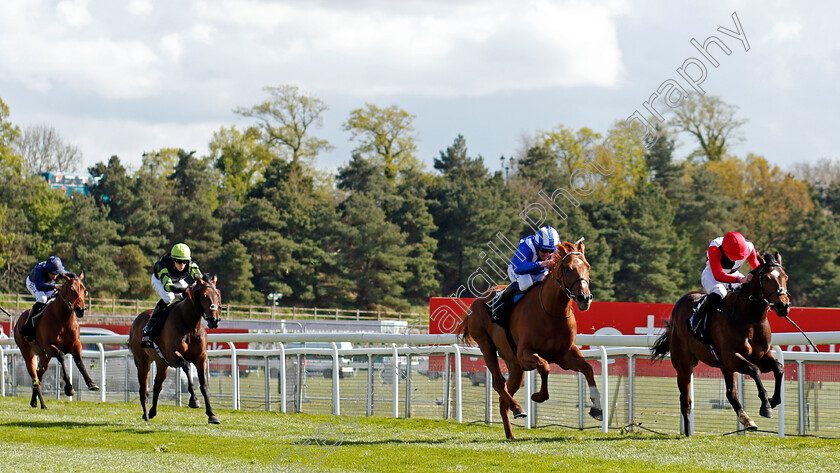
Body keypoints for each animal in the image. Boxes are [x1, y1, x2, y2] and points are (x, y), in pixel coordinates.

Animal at [12, 272, 99, 410]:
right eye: (71, 289)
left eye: (84, 290)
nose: (80, 309)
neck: (63, 319)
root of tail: (19, 320)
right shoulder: (49, 347)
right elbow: (62, 356)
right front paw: (69, 388)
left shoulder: (75, 344)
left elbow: (79, 361)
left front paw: (91, 383)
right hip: (27, 353)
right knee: (35, 378)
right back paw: (42, 404)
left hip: (44, 357)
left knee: (39, 375)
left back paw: (35, 401)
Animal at [129, 272, 223, 422]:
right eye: (203, 296)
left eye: (218, 294)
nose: (214, 320)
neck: (190, 326)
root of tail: (136, 321)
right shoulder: (173, 355)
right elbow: (187, 366)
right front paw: (194, 400)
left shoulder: (201, 358)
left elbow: (204, 385)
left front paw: (211, 414)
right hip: (142, 361)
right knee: (143, 389)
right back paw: (146, 414)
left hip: (162, 363)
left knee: (157, 385)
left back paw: (152, 412)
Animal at [460, 240, 604, 438]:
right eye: (568, 268)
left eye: (588, 267)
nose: (585, 298)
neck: (551, 311)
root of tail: (477, 301)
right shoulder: (525, 355)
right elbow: (544, 366)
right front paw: (538, 396)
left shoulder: (566, 355)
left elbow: (588, 368)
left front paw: (597, 408)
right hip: (486, 345)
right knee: (498, 382)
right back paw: (518, 408)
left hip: (514, 365)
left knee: (503, 398)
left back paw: (511, 434)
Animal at [652, 253, 792, 434]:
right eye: (767, 278)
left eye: (785, 277)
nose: (783, 305)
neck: (748, 318)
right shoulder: (730, 356)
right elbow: (754, 371)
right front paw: (766, 406)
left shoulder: (759, 356)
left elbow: (779, 368)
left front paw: (773, 400)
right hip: (684, 365)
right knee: (685, 401)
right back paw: (688, 433)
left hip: (725, 368)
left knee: (730, 393)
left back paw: (747, 420)